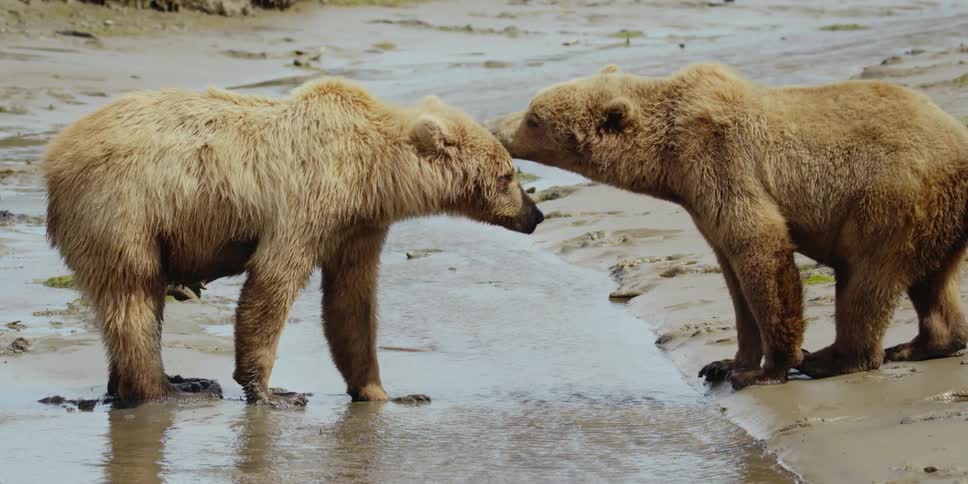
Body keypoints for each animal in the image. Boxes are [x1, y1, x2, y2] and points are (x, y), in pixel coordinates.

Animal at [44, 78, 544, 407]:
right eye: (509, 174)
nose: (536, 215)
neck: (372, 171)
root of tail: (55, 157)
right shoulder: (307, 202)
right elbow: (273, 282)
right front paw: (272, 390)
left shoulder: (358, 225)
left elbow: (351, 303)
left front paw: (387, 391)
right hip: (124, 209)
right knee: (133, 295)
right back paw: (168, 389)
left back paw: (166, 382)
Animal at [489, 63, 968, 389]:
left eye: (533, 117)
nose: (495, 126)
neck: (668, 157)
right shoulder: (702, 204)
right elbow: (734, 279)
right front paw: (725, 363)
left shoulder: (724, 161)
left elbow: (761, 248)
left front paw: (768, 368)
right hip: (935, 217)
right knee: (932, 282)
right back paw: (923, 344)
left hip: (889, 199)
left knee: (866, 279)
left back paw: (833, 357)